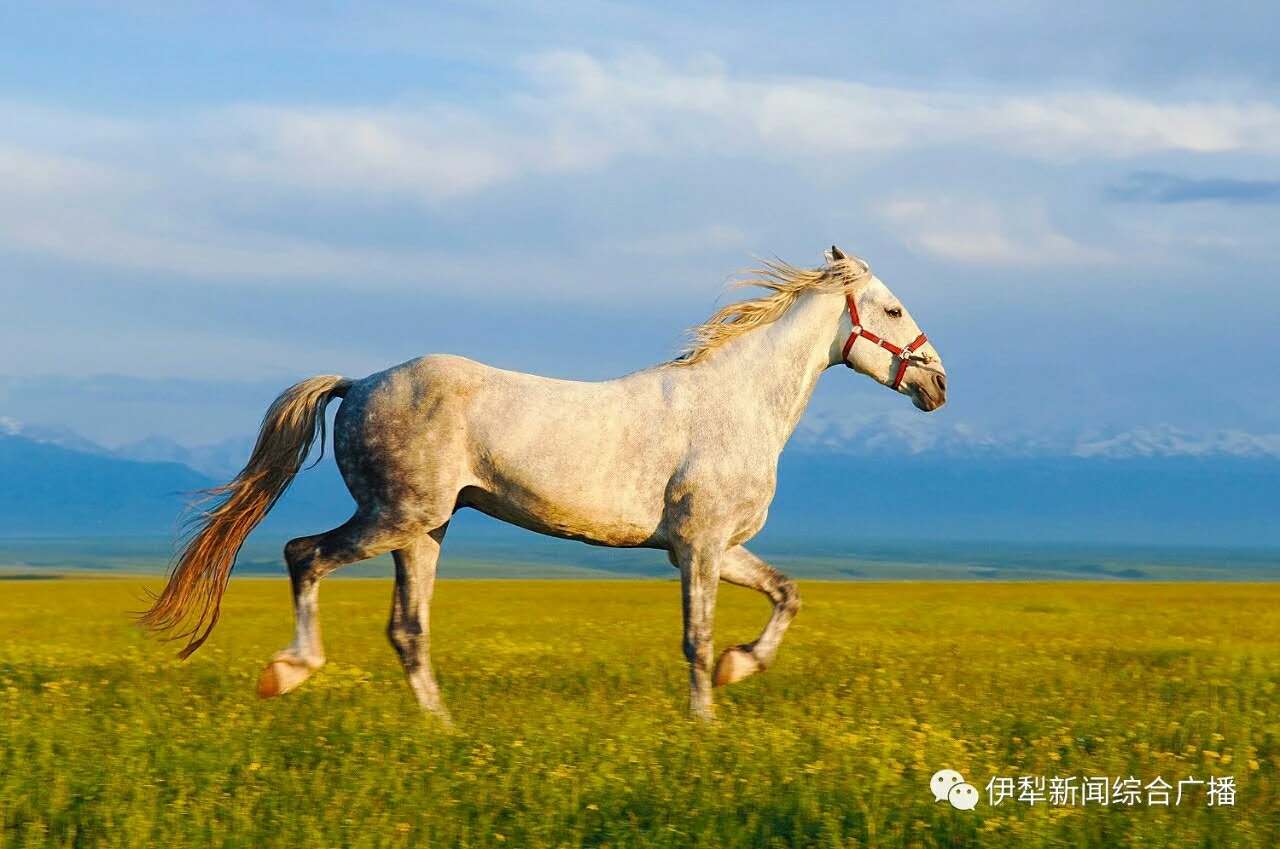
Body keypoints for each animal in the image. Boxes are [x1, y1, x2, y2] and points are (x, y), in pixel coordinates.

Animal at [141, 246, 947, 722]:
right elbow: (695, 636)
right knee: (303, 555)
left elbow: (787, 593)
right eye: (894, 307)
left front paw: (739, 668)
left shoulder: (717, 547)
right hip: (395, 515)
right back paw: (288, 672)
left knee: (407, 628)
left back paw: (441, 727)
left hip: (425, 530)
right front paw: (706, 717)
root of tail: (359, 383)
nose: (938, 383)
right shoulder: (698, 545)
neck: (735, 403)